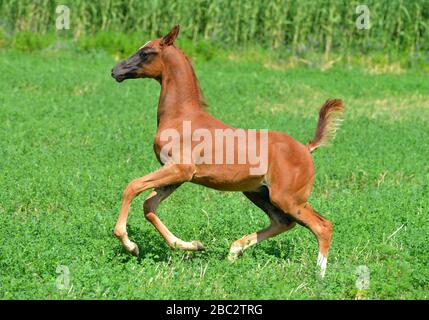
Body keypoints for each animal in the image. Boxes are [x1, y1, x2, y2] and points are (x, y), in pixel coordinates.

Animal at [111, 26, 344, 278]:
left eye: (145, 52)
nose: (115, 71)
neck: (181, 116)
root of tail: (306, 148)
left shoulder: (180, 170)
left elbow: (132, 186)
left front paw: (129, 244)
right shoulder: (176, 176)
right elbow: (149, 206)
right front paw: (193, 245)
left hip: (289, 198)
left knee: (322, 225)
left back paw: (319, 275)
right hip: (258, 193)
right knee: (282, 222)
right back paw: (234, 251)